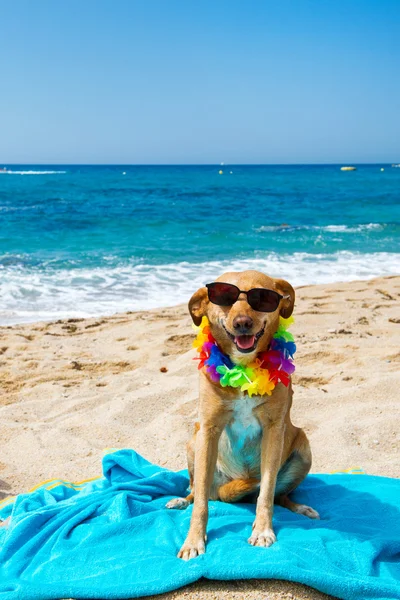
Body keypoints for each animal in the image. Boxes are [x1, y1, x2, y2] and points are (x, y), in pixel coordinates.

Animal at [166, 270, 318, 560]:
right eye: (224, 297)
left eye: (263, 298)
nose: (242, 323)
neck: (244, 369)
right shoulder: (209, 430)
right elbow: (200, 502)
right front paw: (193, 540)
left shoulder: (274, 430)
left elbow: (267, 492)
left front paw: (262, 530)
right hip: (193, 443)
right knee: (197, 491)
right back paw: (181, 500)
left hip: (304, 449)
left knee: (280, 496)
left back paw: (301, 507)